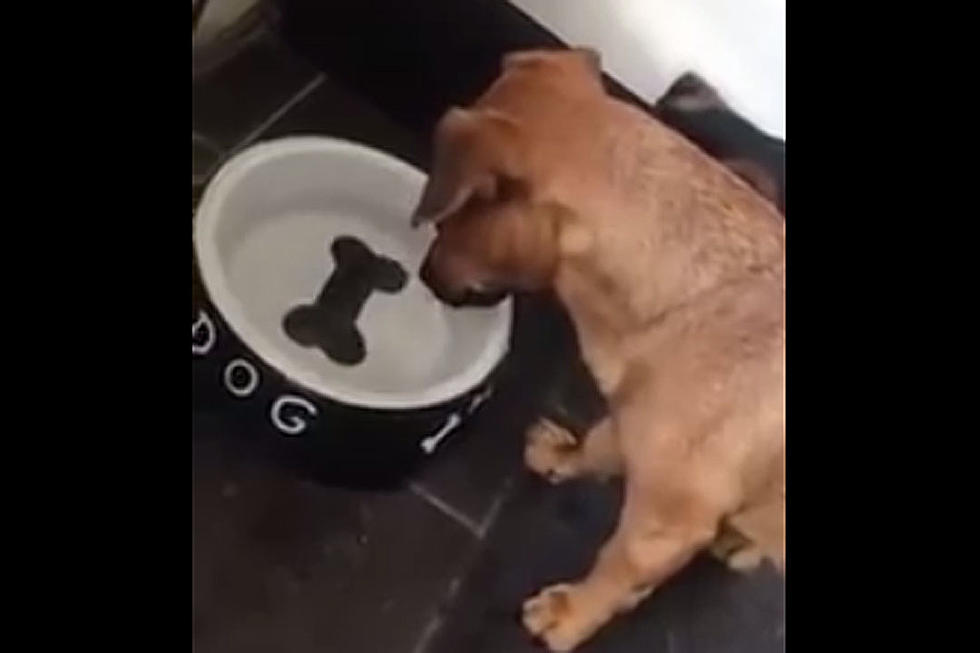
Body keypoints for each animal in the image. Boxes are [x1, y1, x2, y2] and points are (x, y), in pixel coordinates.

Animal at [414, 49, 780, 652]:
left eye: (455, 215)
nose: (422, 275)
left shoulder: (662, 522)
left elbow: (615, 568)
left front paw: (571, 614)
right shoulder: (632, 416)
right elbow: (601, 445)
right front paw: (565, 458)